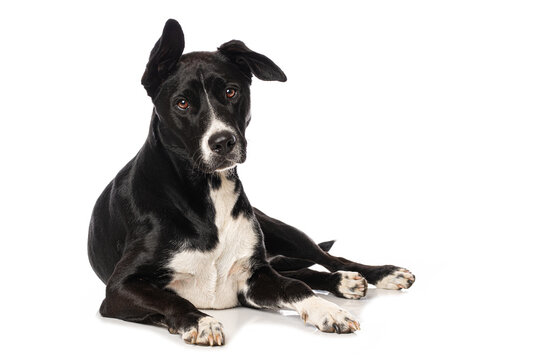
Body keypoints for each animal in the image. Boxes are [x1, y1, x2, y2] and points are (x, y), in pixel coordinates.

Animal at [88, 19, 416, 346]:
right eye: (182, 103)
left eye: (231, 92)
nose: (223, 142)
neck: (209, 191)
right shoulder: (118, 288)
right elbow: (172, 299)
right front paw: (201, 321)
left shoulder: (255, 276)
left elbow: (295, 287)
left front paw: (328, 311)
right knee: (304, 271)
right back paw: (342, 283)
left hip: (283, 230)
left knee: (327, 259)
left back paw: (378, 274)